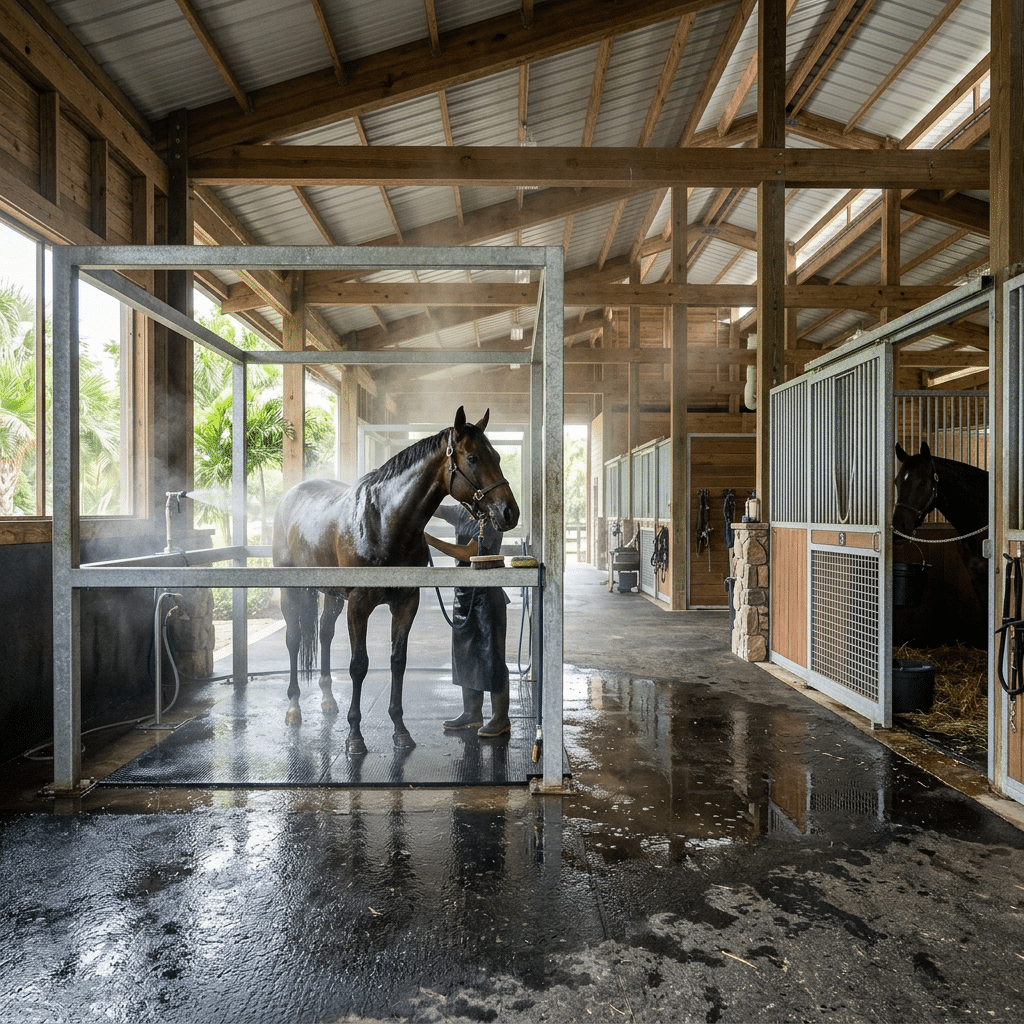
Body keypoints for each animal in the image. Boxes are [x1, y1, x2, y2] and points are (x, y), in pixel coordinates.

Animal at [271, 407, 519, 753]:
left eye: (495, 455)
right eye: (472, 458)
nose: (510, 512)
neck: (383, 522)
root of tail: (291, 495)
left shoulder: (405, 603)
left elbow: (398, 661)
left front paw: (400, 731)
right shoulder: (358, 605)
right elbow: (359, 665)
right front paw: (355, 737)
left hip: (332, 595)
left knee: (325, 634)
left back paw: (328, 700)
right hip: (290, 592)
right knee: (293, 640)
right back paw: (294, 708)